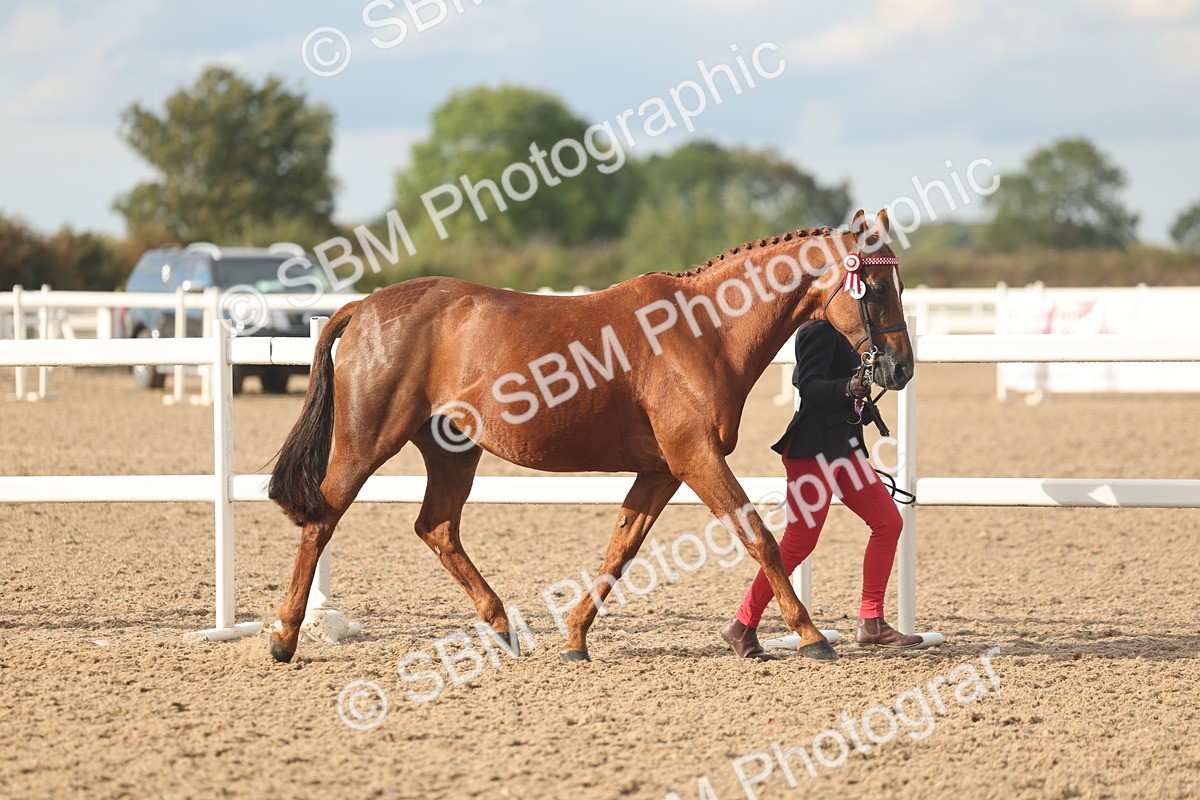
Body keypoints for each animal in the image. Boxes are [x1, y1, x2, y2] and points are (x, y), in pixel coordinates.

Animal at [266, 208, 912, 664]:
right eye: (878, 289)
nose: (899, 368)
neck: (705, 332)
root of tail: (364, 306)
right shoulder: (696, 458)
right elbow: (759, 537)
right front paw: (810, 635)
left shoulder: (661, 470)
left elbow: (620, 548)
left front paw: (575, 638)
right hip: (366, 442)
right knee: (323, 519)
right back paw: (283, 637)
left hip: (454, 451)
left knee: (437, 528)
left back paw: (502, 628)